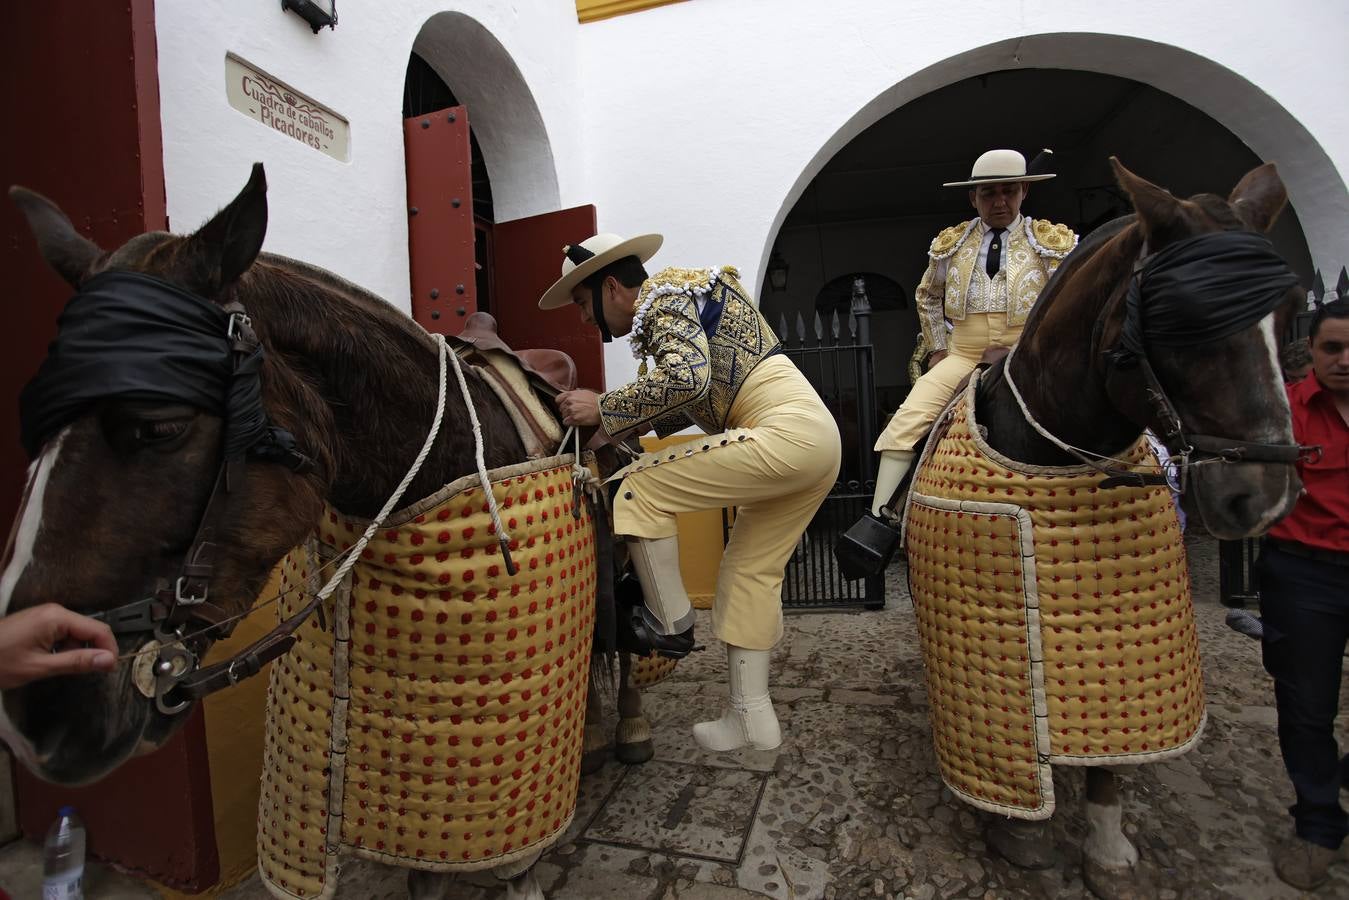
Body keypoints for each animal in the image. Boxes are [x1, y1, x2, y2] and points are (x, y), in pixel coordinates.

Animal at [895, 161, 1305, 900]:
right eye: (1177, 319)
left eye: (1291, 315)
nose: (1260, 497)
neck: (1054, 442)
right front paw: (1022, 832)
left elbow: (1109, 756)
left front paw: (1109, 850)